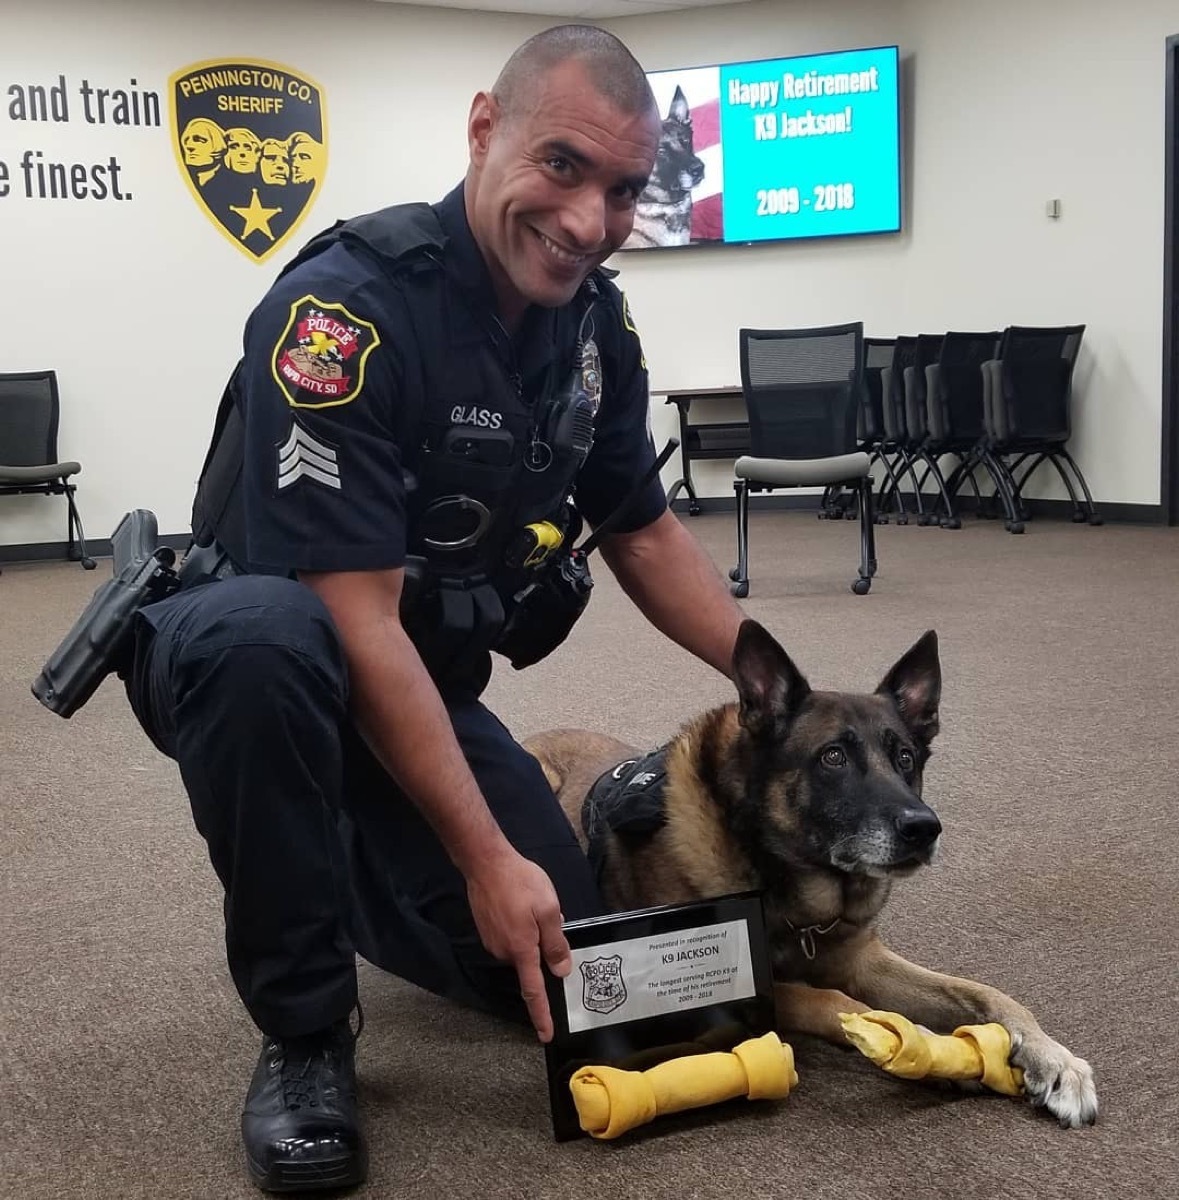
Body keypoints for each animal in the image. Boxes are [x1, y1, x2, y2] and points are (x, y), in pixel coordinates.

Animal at [525, 624, 1099, 1128]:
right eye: (833, 756)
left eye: (906, 758)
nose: (923, 828)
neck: (800, 898)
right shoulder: (750, 988)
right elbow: (830, 1000)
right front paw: (925, 1046)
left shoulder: (863, 961)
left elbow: (987, 993)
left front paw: (1053, 1058)